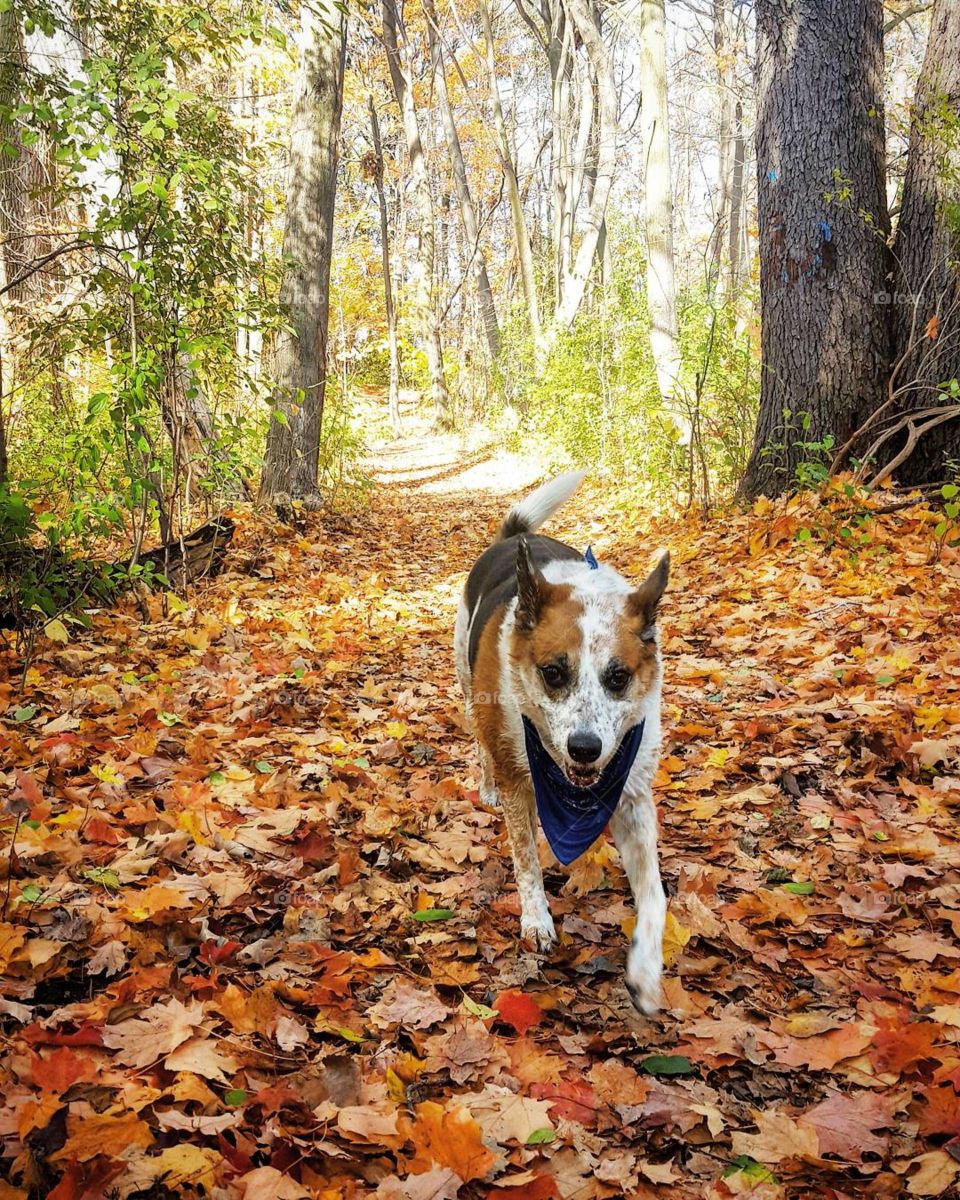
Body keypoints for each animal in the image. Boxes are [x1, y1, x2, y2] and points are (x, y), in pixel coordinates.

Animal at [456, 472, 667, 1017]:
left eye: (618, 677)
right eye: (554, 672)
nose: (586, 749)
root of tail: (513, 537)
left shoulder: (631, 797)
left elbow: (655, 896)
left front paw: (645, 971)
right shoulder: (518, 775)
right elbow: (526, 860)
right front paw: (536, 921)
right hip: (468, 683)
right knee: (481, 741)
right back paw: (487, 787)